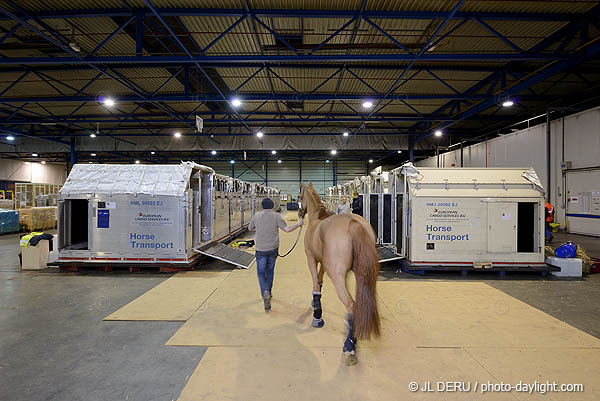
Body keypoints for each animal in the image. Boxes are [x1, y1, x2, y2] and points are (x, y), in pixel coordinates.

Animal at [298, 183, 382, 364]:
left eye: (300, 196)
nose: (300, 213)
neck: (317, 219)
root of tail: (354, 224)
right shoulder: (323, 263)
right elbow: (320, 282)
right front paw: (316, 304)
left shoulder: (311, 259)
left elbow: (315, 283)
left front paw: (317, 317)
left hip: (337, 278)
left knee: (351, 305)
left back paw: (349, 347)